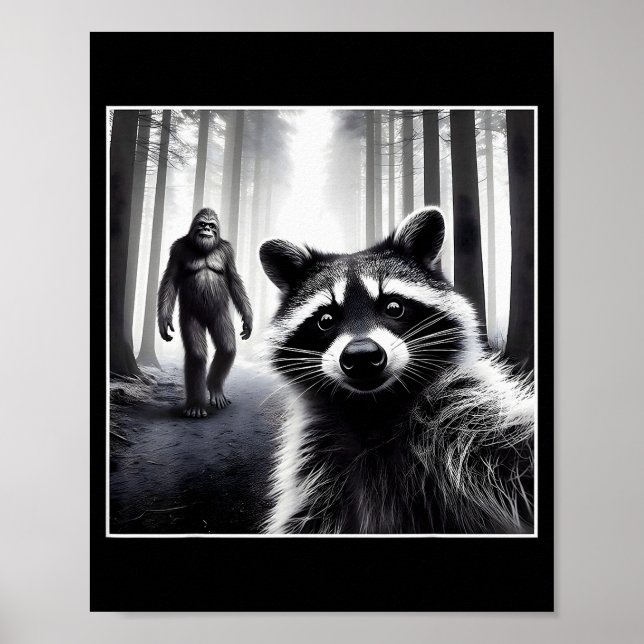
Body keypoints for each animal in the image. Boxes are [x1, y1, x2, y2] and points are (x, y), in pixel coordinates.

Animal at [258, 207, 534, 534]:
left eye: (393, 307)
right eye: (325, 319)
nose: (362, 356)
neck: (374, 407)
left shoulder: (463, 407)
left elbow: (515, 450)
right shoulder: (315, 461)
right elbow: (307, 517)